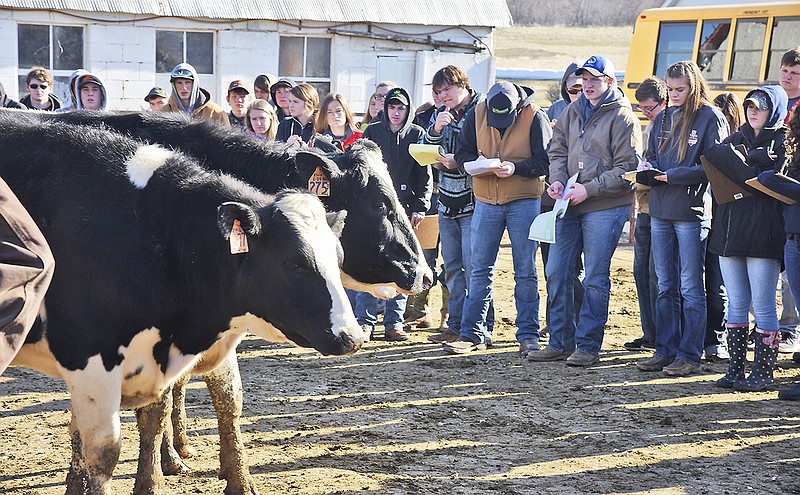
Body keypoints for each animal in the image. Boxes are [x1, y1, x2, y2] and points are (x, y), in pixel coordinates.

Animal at [0, 117, 366, 495]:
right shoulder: (89, 360)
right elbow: (103, 452)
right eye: (294, 262)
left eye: (337, 257)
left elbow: (171, 413)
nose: (352, 336)